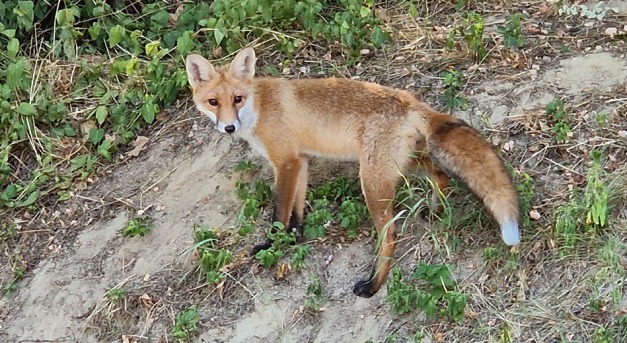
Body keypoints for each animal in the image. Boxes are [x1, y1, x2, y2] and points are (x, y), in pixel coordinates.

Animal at [184, 47, 524, 298]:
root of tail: (412, 102)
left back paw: (374, 284)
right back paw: (436, 211)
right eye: (213, 102)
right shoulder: (301, 161)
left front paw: (272, 245)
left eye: (237, 99)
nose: (229, 127)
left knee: (391, 234)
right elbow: (297, 208)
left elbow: (279, 212)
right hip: (401, 165)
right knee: (439, 175)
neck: (259, 106)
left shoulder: (286, 162)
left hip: (371, 182)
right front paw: (294, 237)